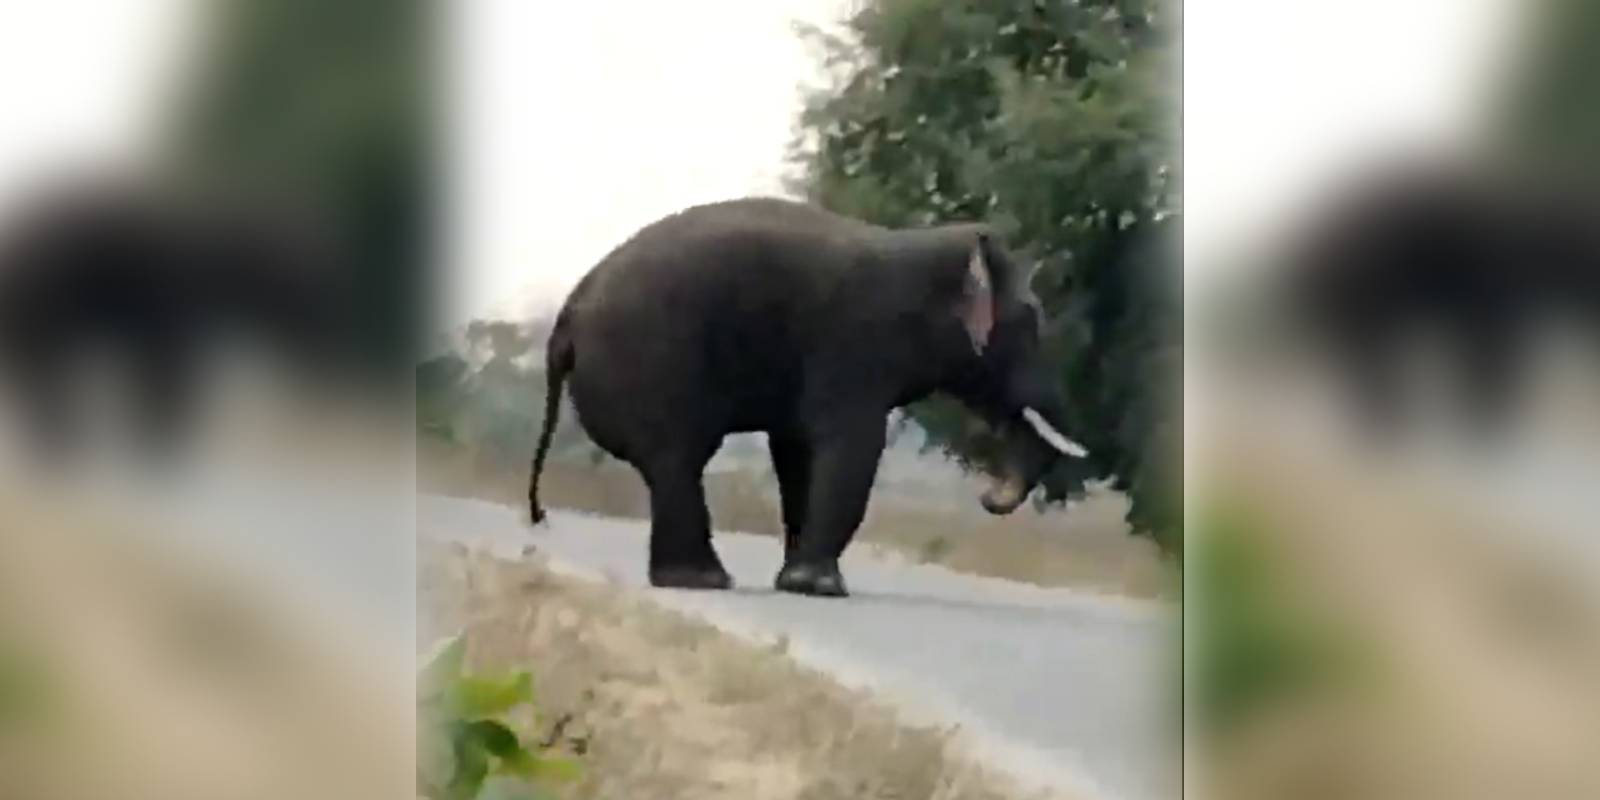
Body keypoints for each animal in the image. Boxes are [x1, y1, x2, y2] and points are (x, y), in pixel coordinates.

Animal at [526, 198, 1087, 597]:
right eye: (1031, 324)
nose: (989, 496)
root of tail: (568, 315)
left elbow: (798, 453)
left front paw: (795, 582)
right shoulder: (856, 344)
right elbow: (852, 447)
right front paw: (817, 589)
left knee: (673, 468)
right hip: (649, 364)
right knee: (678, 460)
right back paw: (703, 582)